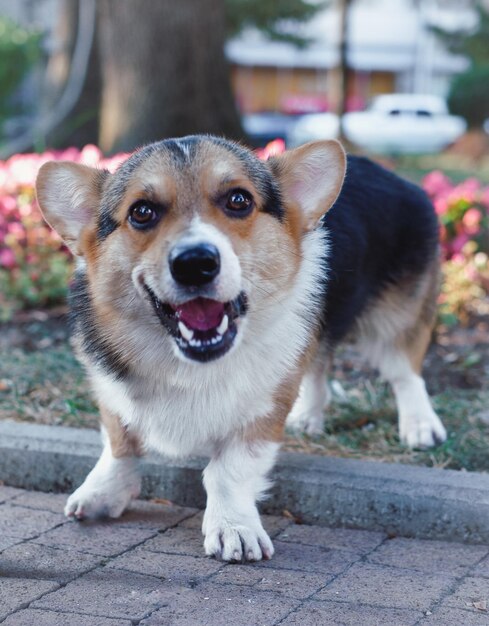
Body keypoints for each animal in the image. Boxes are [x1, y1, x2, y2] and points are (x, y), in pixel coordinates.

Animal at [36, 136, 444, 560]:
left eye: (239, 200)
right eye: (142, 212)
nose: (195, 263)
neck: (188, 363)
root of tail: (395, 176)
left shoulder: (263, 409)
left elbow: (226, 471)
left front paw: (233, 527)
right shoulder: (111, 388)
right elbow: (120, 441)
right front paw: (102, 492)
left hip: (396, 319)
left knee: (404, 373)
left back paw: (420, 425)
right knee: (319, 361)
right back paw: (308, 417)